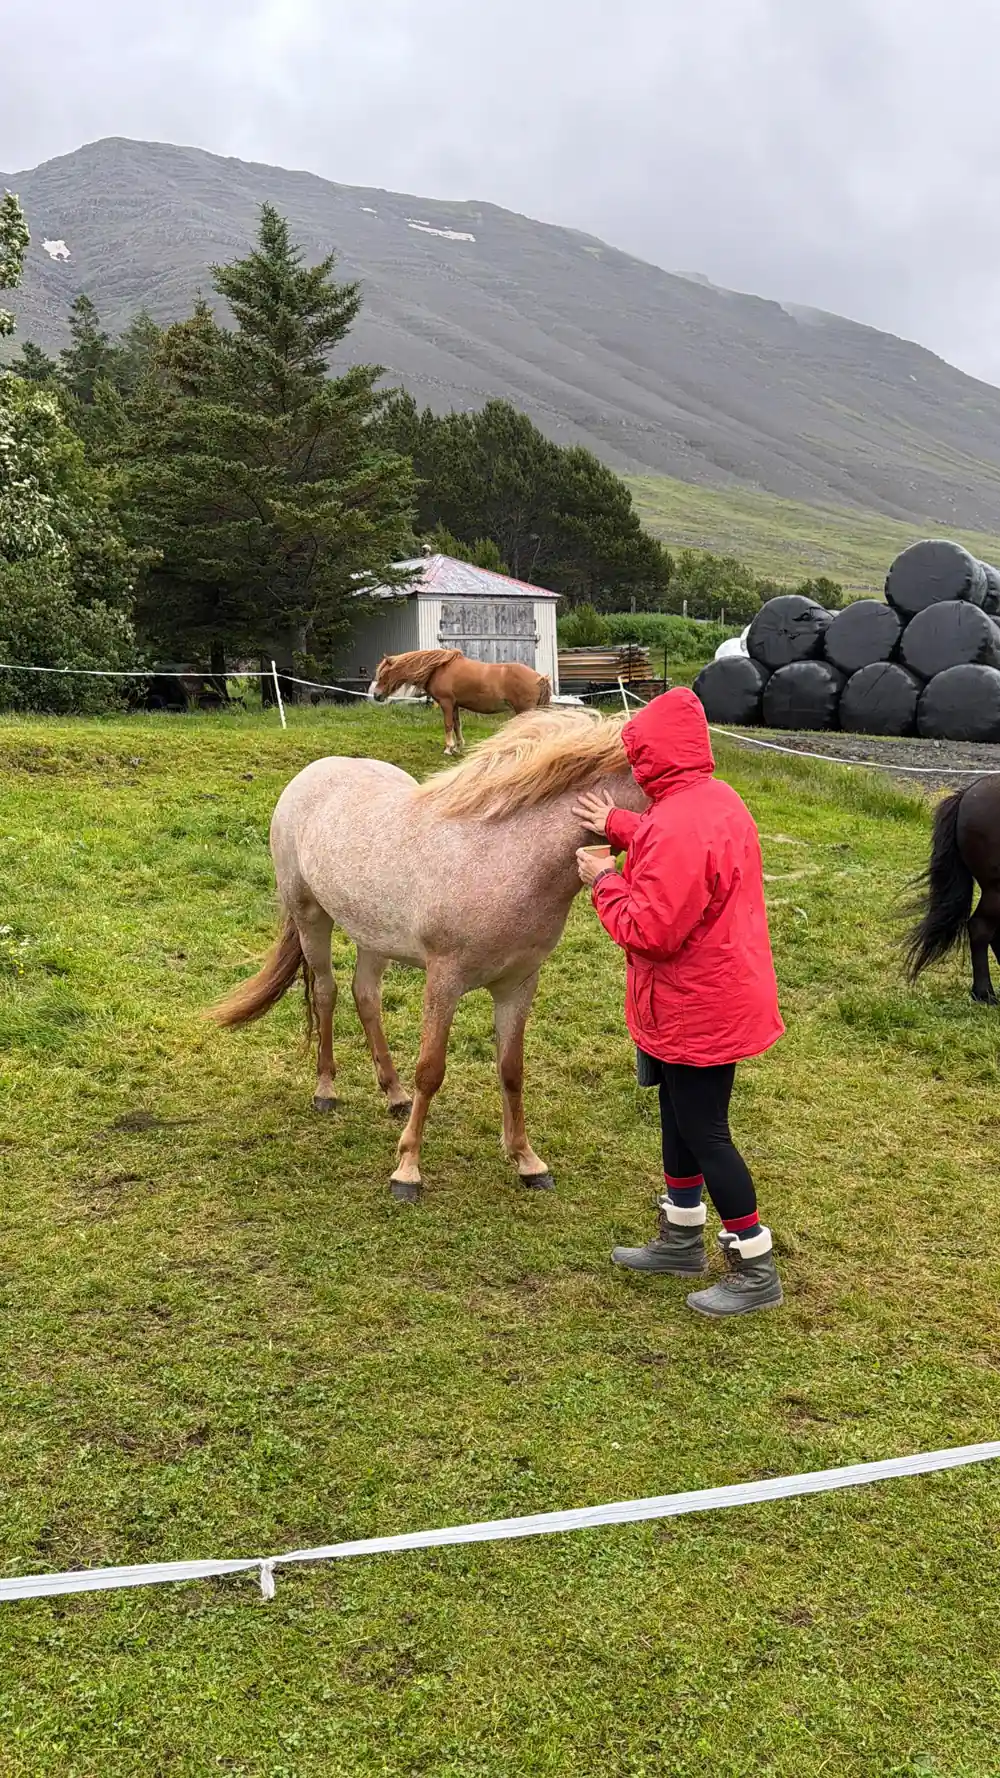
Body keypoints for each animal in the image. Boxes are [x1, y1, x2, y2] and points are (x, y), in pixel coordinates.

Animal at [209, 708, 646, 1201]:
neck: (507, 857)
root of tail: (313, 772)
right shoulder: (445, 980)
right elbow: (431, 1070)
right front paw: (407, 1171)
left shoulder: (518, 984)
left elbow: (511, 1069)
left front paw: (527, 1161)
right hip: (310, 918)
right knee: (326, 993)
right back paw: (325, 1090)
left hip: (374, 936)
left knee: (366, 996)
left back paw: (394, 1094)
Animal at [371, 648, 552, 755]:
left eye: (383, 674)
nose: (376, 695)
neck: (437, 668)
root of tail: (539, 678)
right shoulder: (455, 705)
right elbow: (457, 725)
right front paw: (458, 746)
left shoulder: (446, 703)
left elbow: (448, 725)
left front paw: (448, 748)